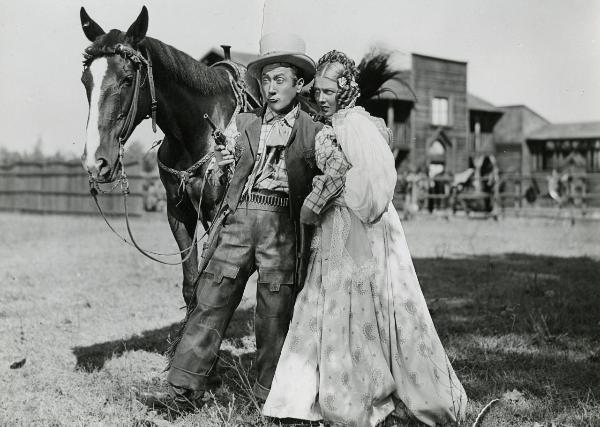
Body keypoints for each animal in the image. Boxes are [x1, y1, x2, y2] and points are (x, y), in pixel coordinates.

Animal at [78, 7, 258, 308]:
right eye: (85, 81)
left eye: (128, 79)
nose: (96, 162)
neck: (196, 131)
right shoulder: (178, 212)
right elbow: (191, 285)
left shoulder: (221, 214)